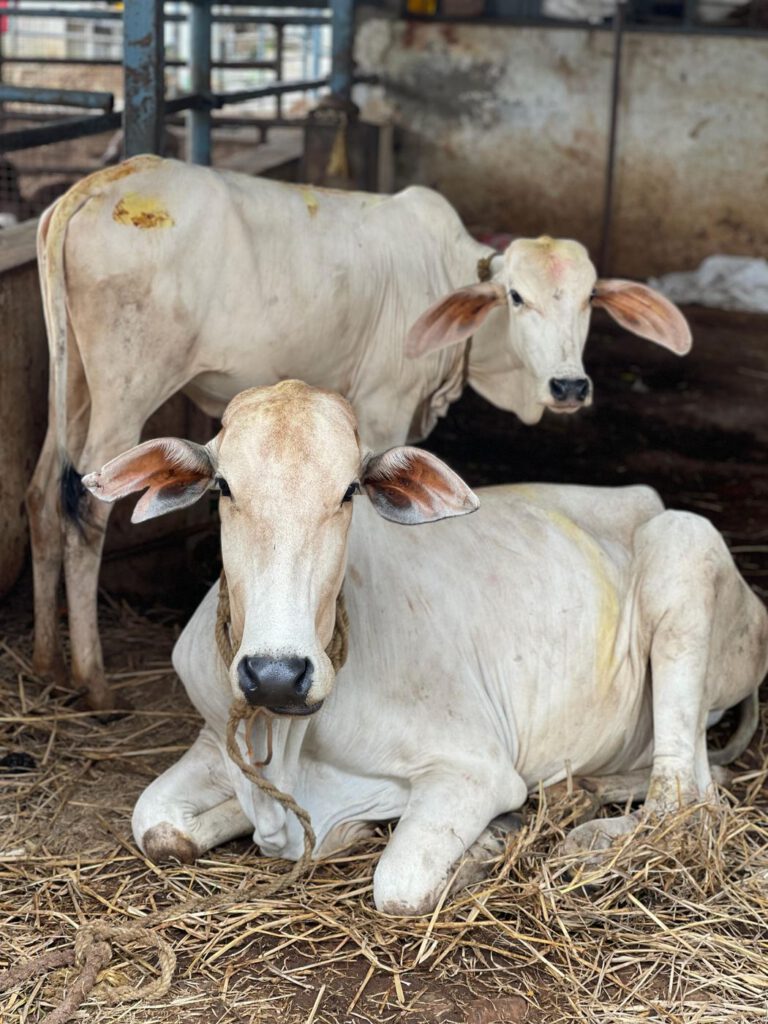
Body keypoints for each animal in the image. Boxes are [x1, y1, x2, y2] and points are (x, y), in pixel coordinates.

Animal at [29, 154, 691, 710]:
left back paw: (46, 663)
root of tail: (100, 184)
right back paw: (94, 682)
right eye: (515, 296)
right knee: (87, 509)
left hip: (74, 386)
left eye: (588, 299)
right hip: (126, 387)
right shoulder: (384, 406)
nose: (569, 386)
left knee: (41, 497)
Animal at [83, 381, 768, 916]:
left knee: (683, 801)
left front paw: (489, 842)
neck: (292, 735)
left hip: (685, 552)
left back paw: (588, 836)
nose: (276, 674)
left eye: (349, 492)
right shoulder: (212, 737)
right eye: (223, 485)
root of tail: (646, 498)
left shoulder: (474, 766)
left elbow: (401, 884)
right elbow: (156, 826)